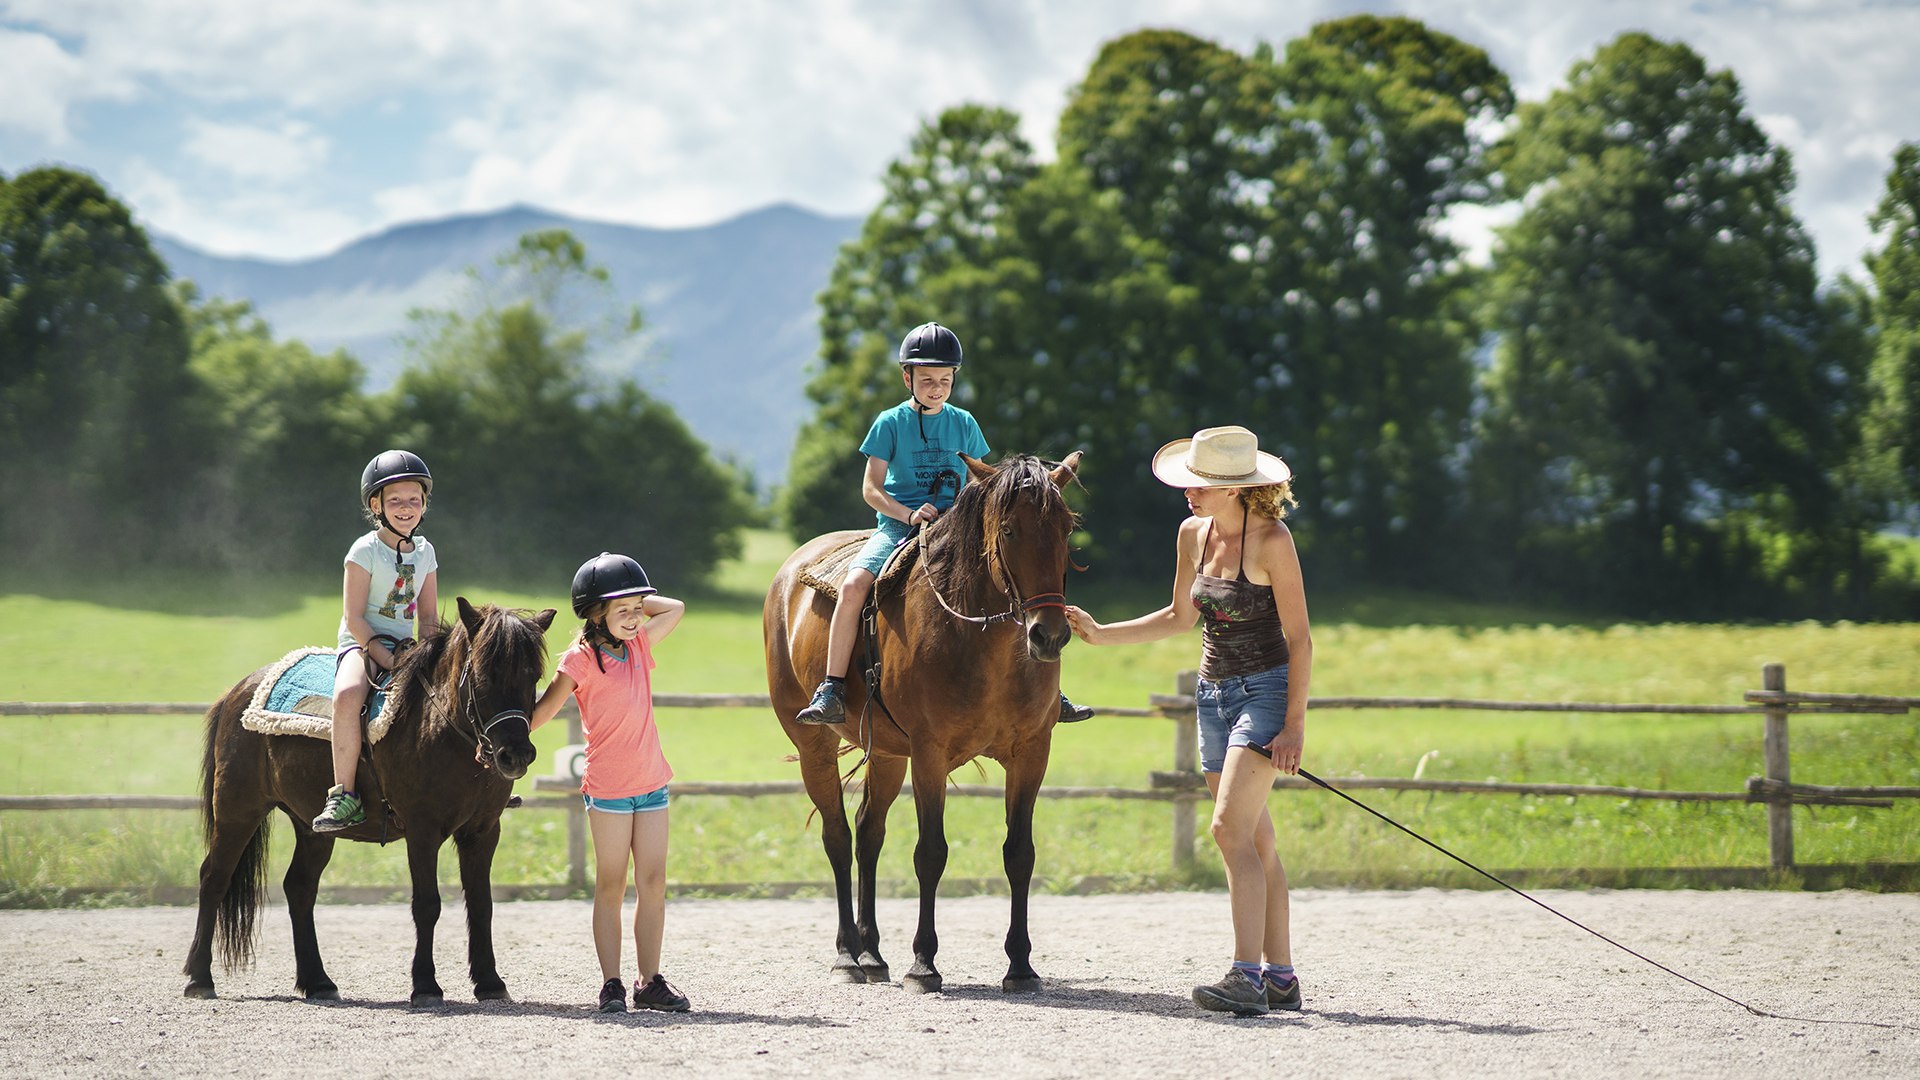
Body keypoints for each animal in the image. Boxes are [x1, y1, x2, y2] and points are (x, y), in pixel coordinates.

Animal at [184, 595, 556, 999]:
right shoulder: (422, 831)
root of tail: (238, 691)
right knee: (214, 878)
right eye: (485, 676)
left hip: (311, 828)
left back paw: (317, 981)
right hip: (237, 810)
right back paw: (199, 978)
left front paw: (489, 981)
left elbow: (481, 903)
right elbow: (427, 904)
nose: (515, 755)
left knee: (299, 888)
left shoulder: (483, 831)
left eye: (533, 677)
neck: (439, 729)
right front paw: (425, 985)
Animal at [768, 447, 1098, 991]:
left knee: (869, 833)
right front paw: (924, 963)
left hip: (885, 753)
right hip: (814, 745)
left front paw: (1020, 966)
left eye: (1066, 528)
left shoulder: (1031, 753)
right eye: (1009, 530)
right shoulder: (929, 754)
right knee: (838, 836)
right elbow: (930, 853)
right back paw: (846, 955)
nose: (1048, 635)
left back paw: (871, 954)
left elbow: (1020, 853)